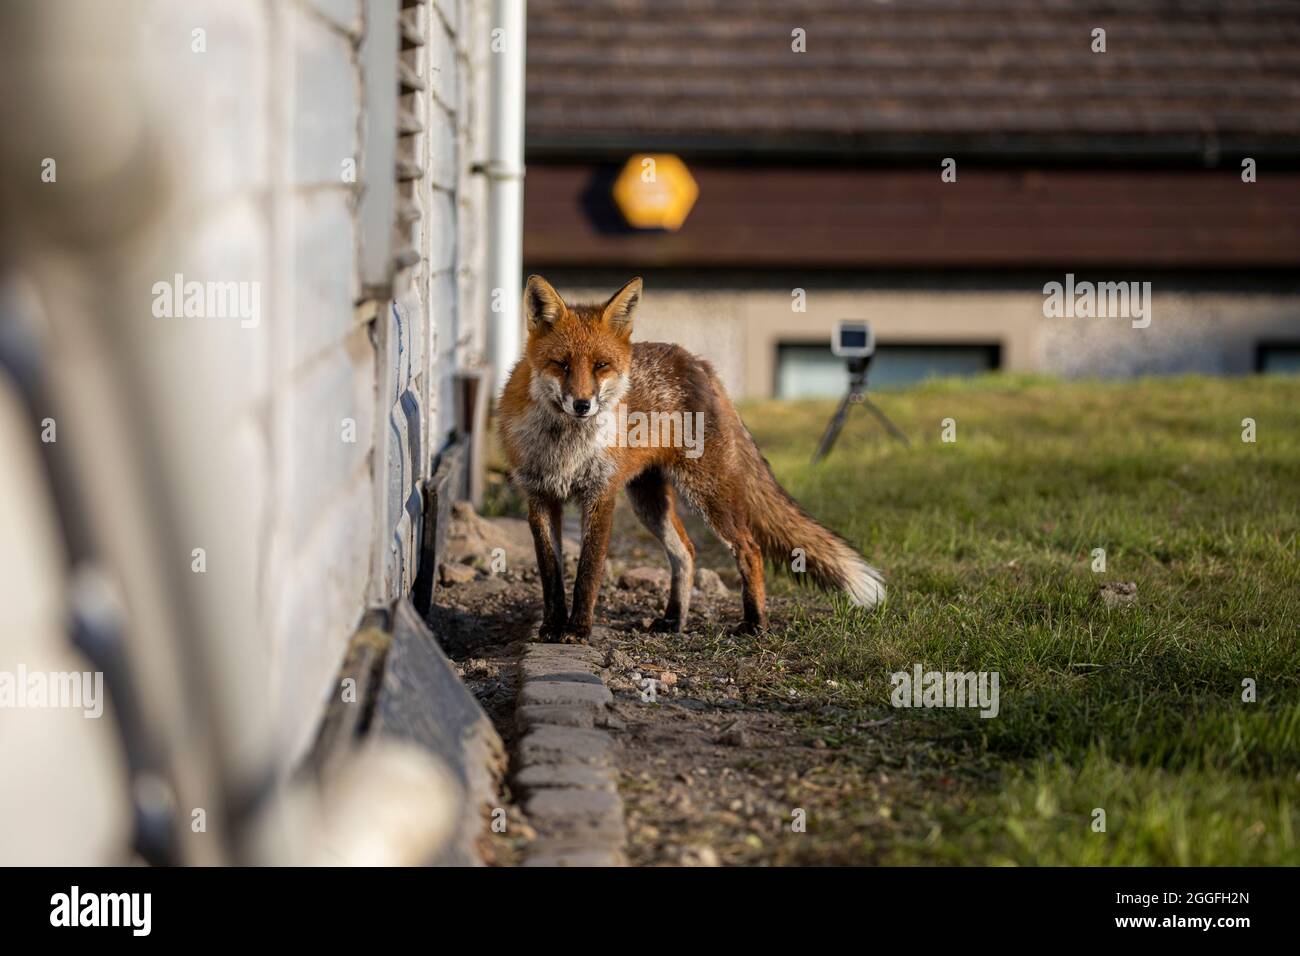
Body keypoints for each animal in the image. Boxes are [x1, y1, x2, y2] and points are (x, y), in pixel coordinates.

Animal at [498, 274, 886, 643]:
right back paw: (674, 619)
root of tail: (697, 362)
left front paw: (578, 630)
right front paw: (552, 626)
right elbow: (550, 575)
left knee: (750, 548)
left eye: (601, 366)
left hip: (708, 493)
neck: (566, 447)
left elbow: (588, 573)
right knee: (685, 551)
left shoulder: (600, 496)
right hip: (649, 502)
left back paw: (754, 622)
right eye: (561, 365)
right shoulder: (540, 498)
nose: (582, 405)